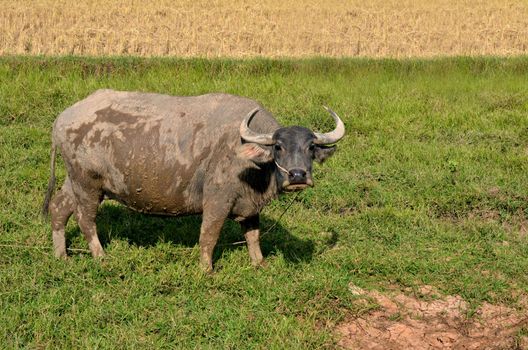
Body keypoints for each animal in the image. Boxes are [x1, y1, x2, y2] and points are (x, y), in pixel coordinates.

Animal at [42, 89, 346, 270]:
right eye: (279, 147)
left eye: (310, 147)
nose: (298, 176)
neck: (249, 160)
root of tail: (61, 120)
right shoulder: (217, 201)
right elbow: (208, 236)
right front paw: (206, 270)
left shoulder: (249, 206)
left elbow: (253, 236)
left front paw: (259, 264)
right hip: (88, 185)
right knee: (85, 219)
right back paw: (101, 256)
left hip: (74, 182)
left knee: (58, 208)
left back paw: (61, 255)